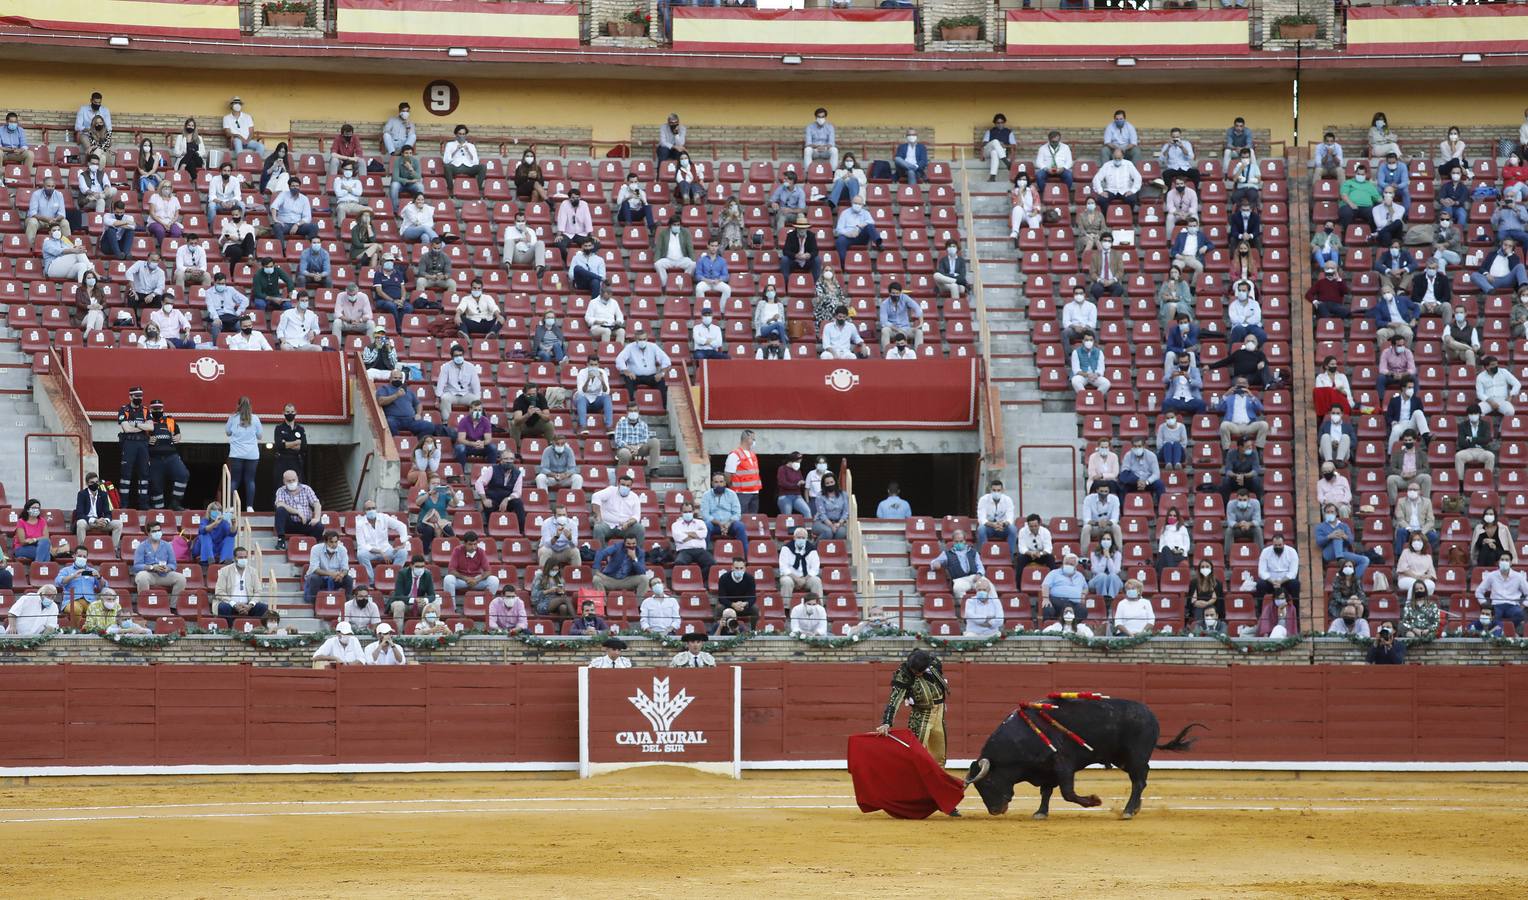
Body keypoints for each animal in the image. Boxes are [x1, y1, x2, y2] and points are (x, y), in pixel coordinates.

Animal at [959, 699, 1197, 819]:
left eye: (988, 782)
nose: (994, 811)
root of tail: (1151, 715)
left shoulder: (1063, 764)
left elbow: (1068, 793)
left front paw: (1094, 801)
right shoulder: (1046, 770)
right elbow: (1046, 792)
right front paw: (1040, 813)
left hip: (1135, 755)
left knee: (1138, 781)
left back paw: (1128, 811)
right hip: (1125, 759)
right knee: (1143, 778)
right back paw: (1135, 808)